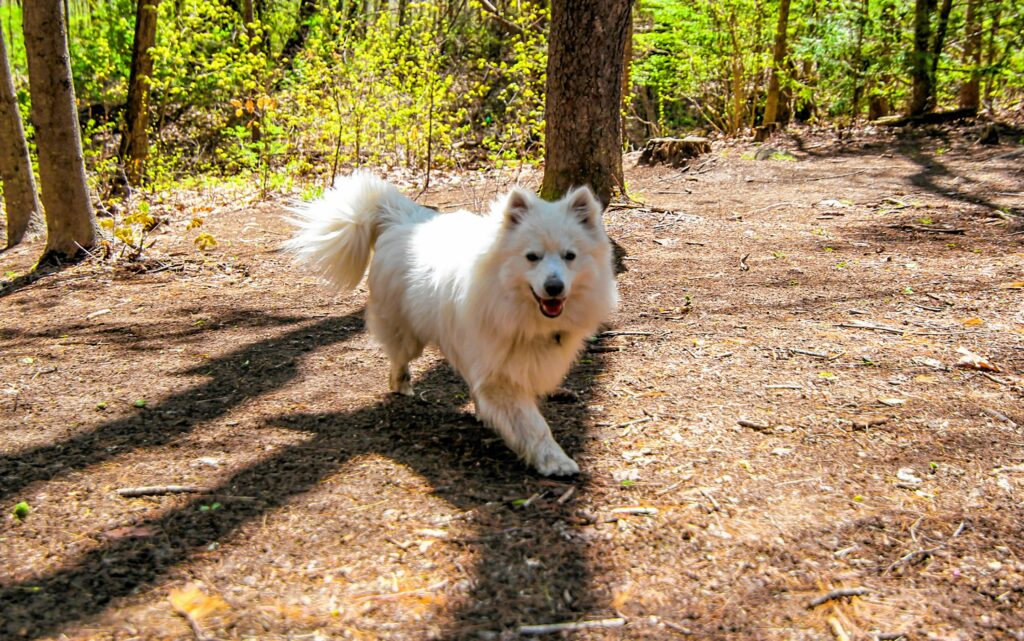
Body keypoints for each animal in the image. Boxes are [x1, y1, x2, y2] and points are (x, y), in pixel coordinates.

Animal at [284, 172, 614, 471]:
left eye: (570, 256)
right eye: (532, 257)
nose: (554, 287)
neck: (515, 308)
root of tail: (400, 218)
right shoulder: (500, 377)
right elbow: (534, 425)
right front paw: (554, 461)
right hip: (407, 337)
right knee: (398, 360)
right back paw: (401, 385)